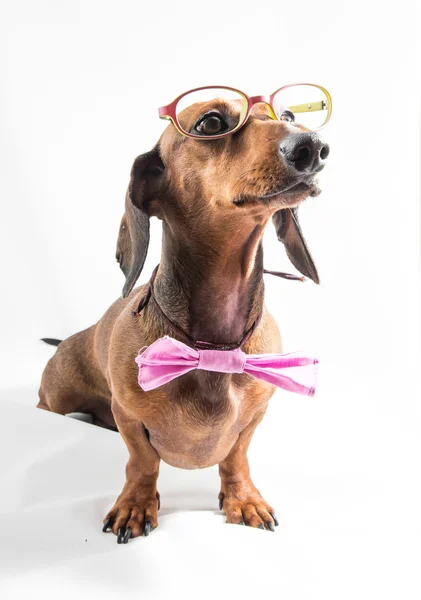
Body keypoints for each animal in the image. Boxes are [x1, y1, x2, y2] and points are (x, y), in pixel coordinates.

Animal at [38, 94, 328, 544]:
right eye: (211, 123)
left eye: (290, 115)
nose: (312, 148)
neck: (213, 346)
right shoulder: (129, 417)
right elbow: (142, 461)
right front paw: (136, 504)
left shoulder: (255, 417)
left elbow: (237, 456)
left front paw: (243, 498)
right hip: (56, 399)